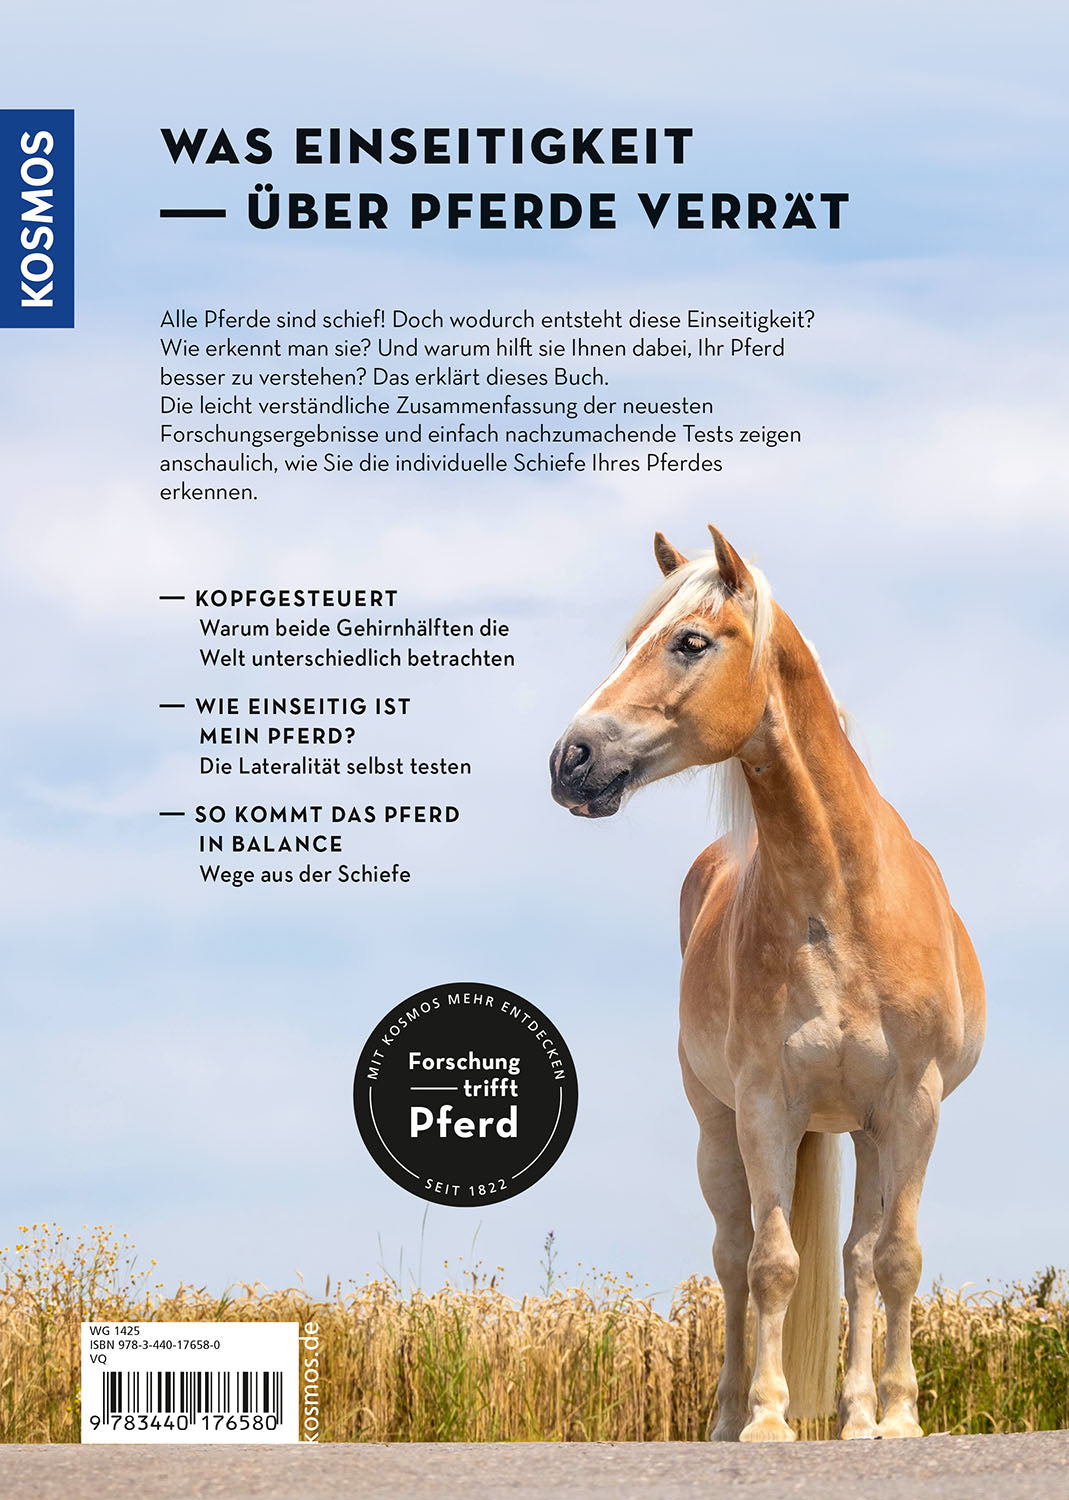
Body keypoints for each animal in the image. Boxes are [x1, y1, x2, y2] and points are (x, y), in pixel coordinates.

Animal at [549, 526, 985, 1442]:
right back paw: (726, 1413)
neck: (840, 904)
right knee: (729, 1258)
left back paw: (855, 1415)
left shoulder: (912, 1107)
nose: (570, 759)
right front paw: (767, 1416)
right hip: (718, 1127)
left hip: (865, 1131)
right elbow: (771, 1262)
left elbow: (893, 1260)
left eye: (688, 641)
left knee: (856, 1261)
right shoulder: (763, 1108)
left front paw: (895, 1416)